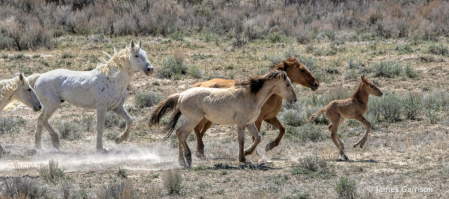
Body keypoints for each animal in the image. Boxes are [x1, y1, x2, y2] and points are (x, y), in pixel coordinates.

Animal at [148, 70, 298, 167]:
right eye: (287, 84)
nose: (294, 100)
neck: (251, 96)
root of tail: (181, 95)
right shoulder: (241, 122)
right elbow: (241, 140)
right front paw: (243, 158)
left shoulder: (249, 123)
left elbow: (258, 138)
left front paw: (248, 153)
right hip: (193, 120)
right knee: (180, 133)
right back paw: (188, 159)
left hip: (191, 121)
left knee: (181, 134)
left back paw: (182, 161)